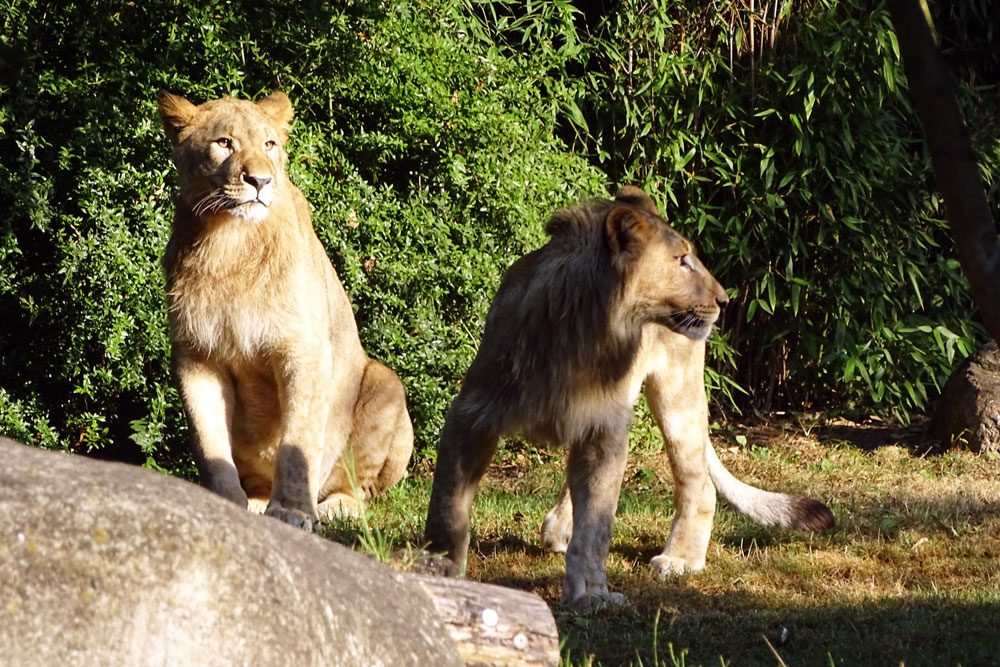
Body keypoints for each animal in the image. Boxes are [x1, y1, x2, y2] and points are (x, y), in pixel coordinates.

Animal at [156, 90, 413, 530]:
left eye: (269, 144)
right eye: (224, 143)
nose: (260, 181)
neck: (228, 242)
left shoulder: (303, 350)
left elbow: (299, 442)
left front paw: (293, 511)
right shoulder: (196, 357)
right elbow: (210, 446)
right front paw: (224, 505)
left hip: (386, 384)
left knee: (359, 491)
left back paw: (333, 509)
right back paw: (258, 502)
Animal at [424, 186, 834, 609]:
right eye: (681, 260)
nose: (725, 301)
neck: (586, 334)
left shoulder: (605, 431)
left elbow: (596, 528)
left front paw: (590, 592)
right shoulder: (473, 413)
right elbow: (446, 509)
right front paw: (440, 572)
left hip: (677, 398)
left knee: (699, 483)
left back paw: (680, 558)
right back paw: (561, 528)